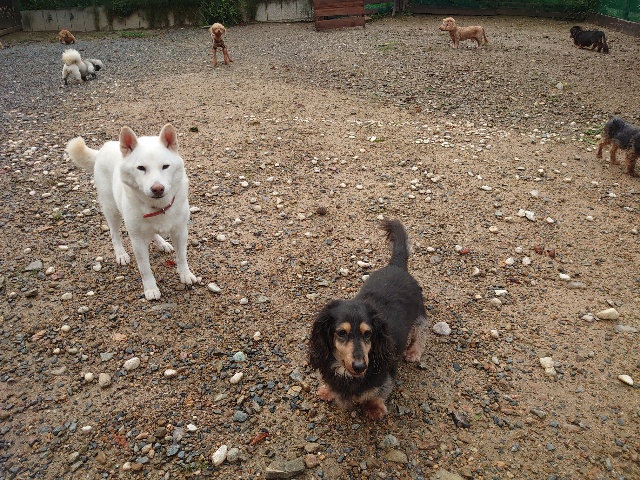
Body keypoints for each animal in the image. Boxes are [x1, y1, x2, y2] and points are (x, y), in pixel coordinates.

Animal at [66, 124, 200, 300]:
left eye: (165, 166)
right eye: (141, 168)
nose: (158, 188)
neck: (158, 207)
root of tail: (104, 148)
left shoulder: (180, 231)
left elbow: (182, 257)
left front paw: (185, 275)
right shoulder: (137, 241)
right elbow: (145, 268)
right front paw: (150, 289)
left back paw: (162, 243)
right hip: (112, 210)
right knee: (114, 234)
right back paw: (121, 254)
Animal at [309, 220, 428, 419]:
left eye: (368, 334)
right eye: (341, 333)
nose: (360, 366)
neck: (346, 372)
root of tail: (396, 266)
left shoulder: (386, 375)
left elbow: (377, 393)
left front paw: (374, 407)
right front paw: (327, 390)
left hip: (419, 313)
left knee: (421, 331)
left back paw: (413, 351)